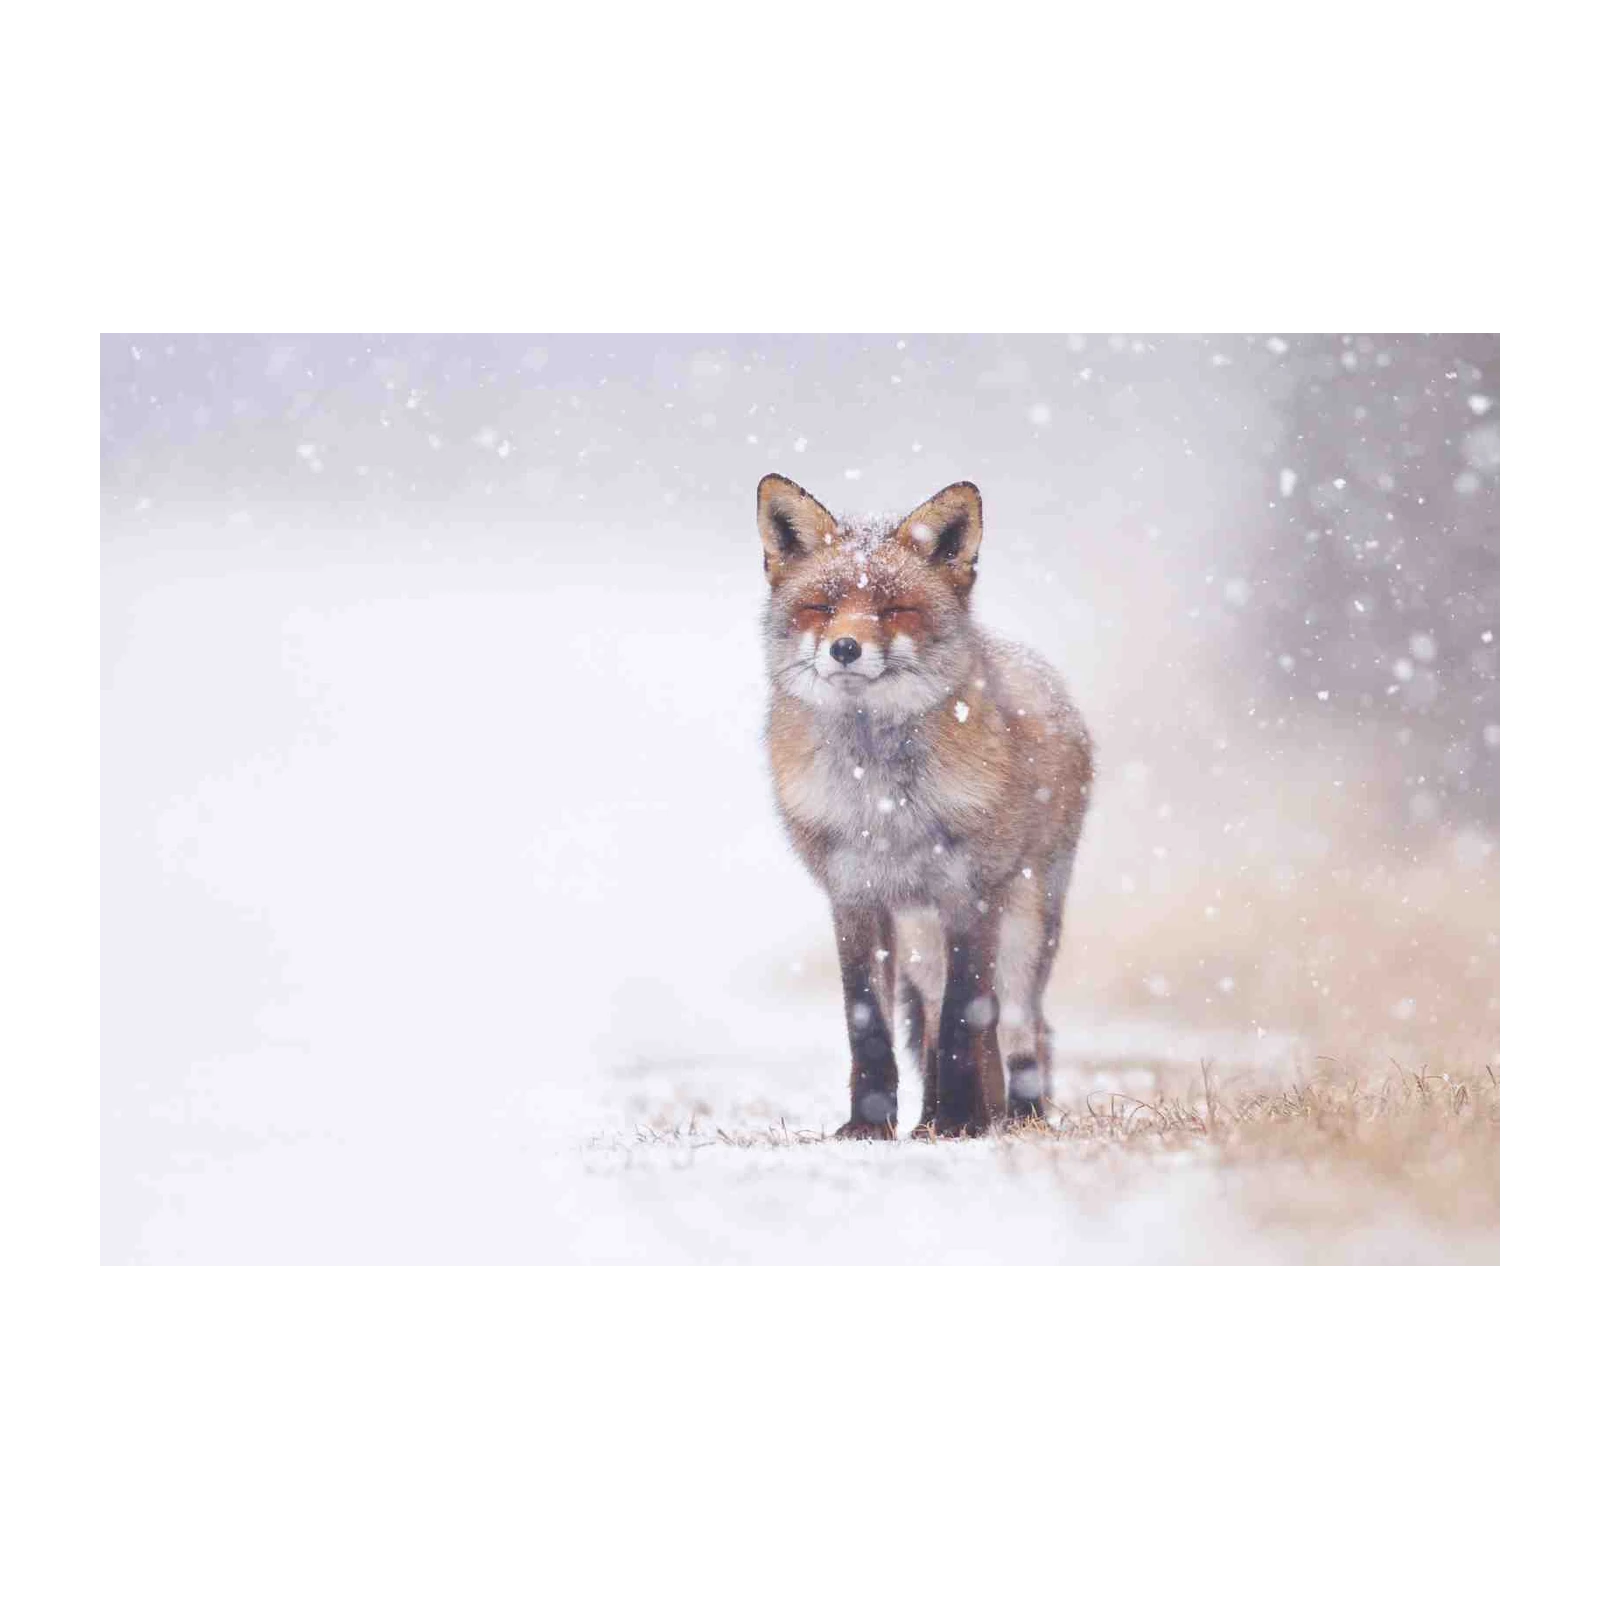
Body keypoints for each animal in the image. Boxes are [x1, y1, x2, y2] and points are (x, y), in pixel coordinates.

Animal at [759, 474, 1094, 1139]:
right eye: (823, 607)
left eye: (895, 611)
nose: (844, 648)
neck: (882, 802)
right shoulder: (854, 896)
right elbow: (869, 1024)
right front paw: (869, 1127)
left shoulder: (968, 893)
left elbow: (968, 1017)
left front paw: (965, 1121)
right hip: (918, 936)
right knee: (937, 1016)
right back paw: (931, 1118)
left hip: (1024, 922)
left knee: (1019, 1026)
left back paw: (1012, 1117)